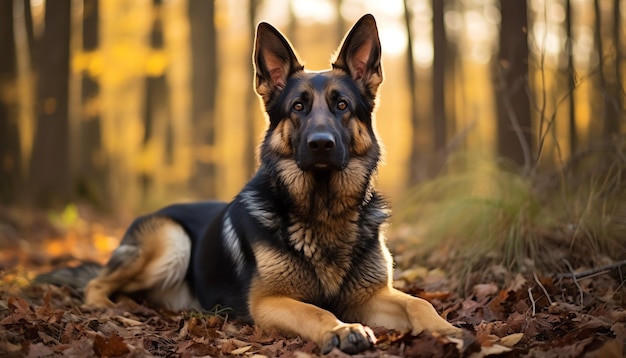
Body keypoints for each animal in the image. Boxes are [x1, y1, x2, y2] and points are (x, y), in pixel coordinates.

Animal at [37, 14, 458, 356]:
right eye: (298, 107)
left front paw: (447, 328)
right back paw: (110, 308)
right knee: (97, 284)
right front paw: (342, 330)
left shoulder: (373, 295)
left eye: (342, 106)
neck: (322, 209)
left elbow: (419, 303)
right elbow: (316, 311)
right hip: (171, 241)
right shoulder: (271, 302)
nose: (321, 144)